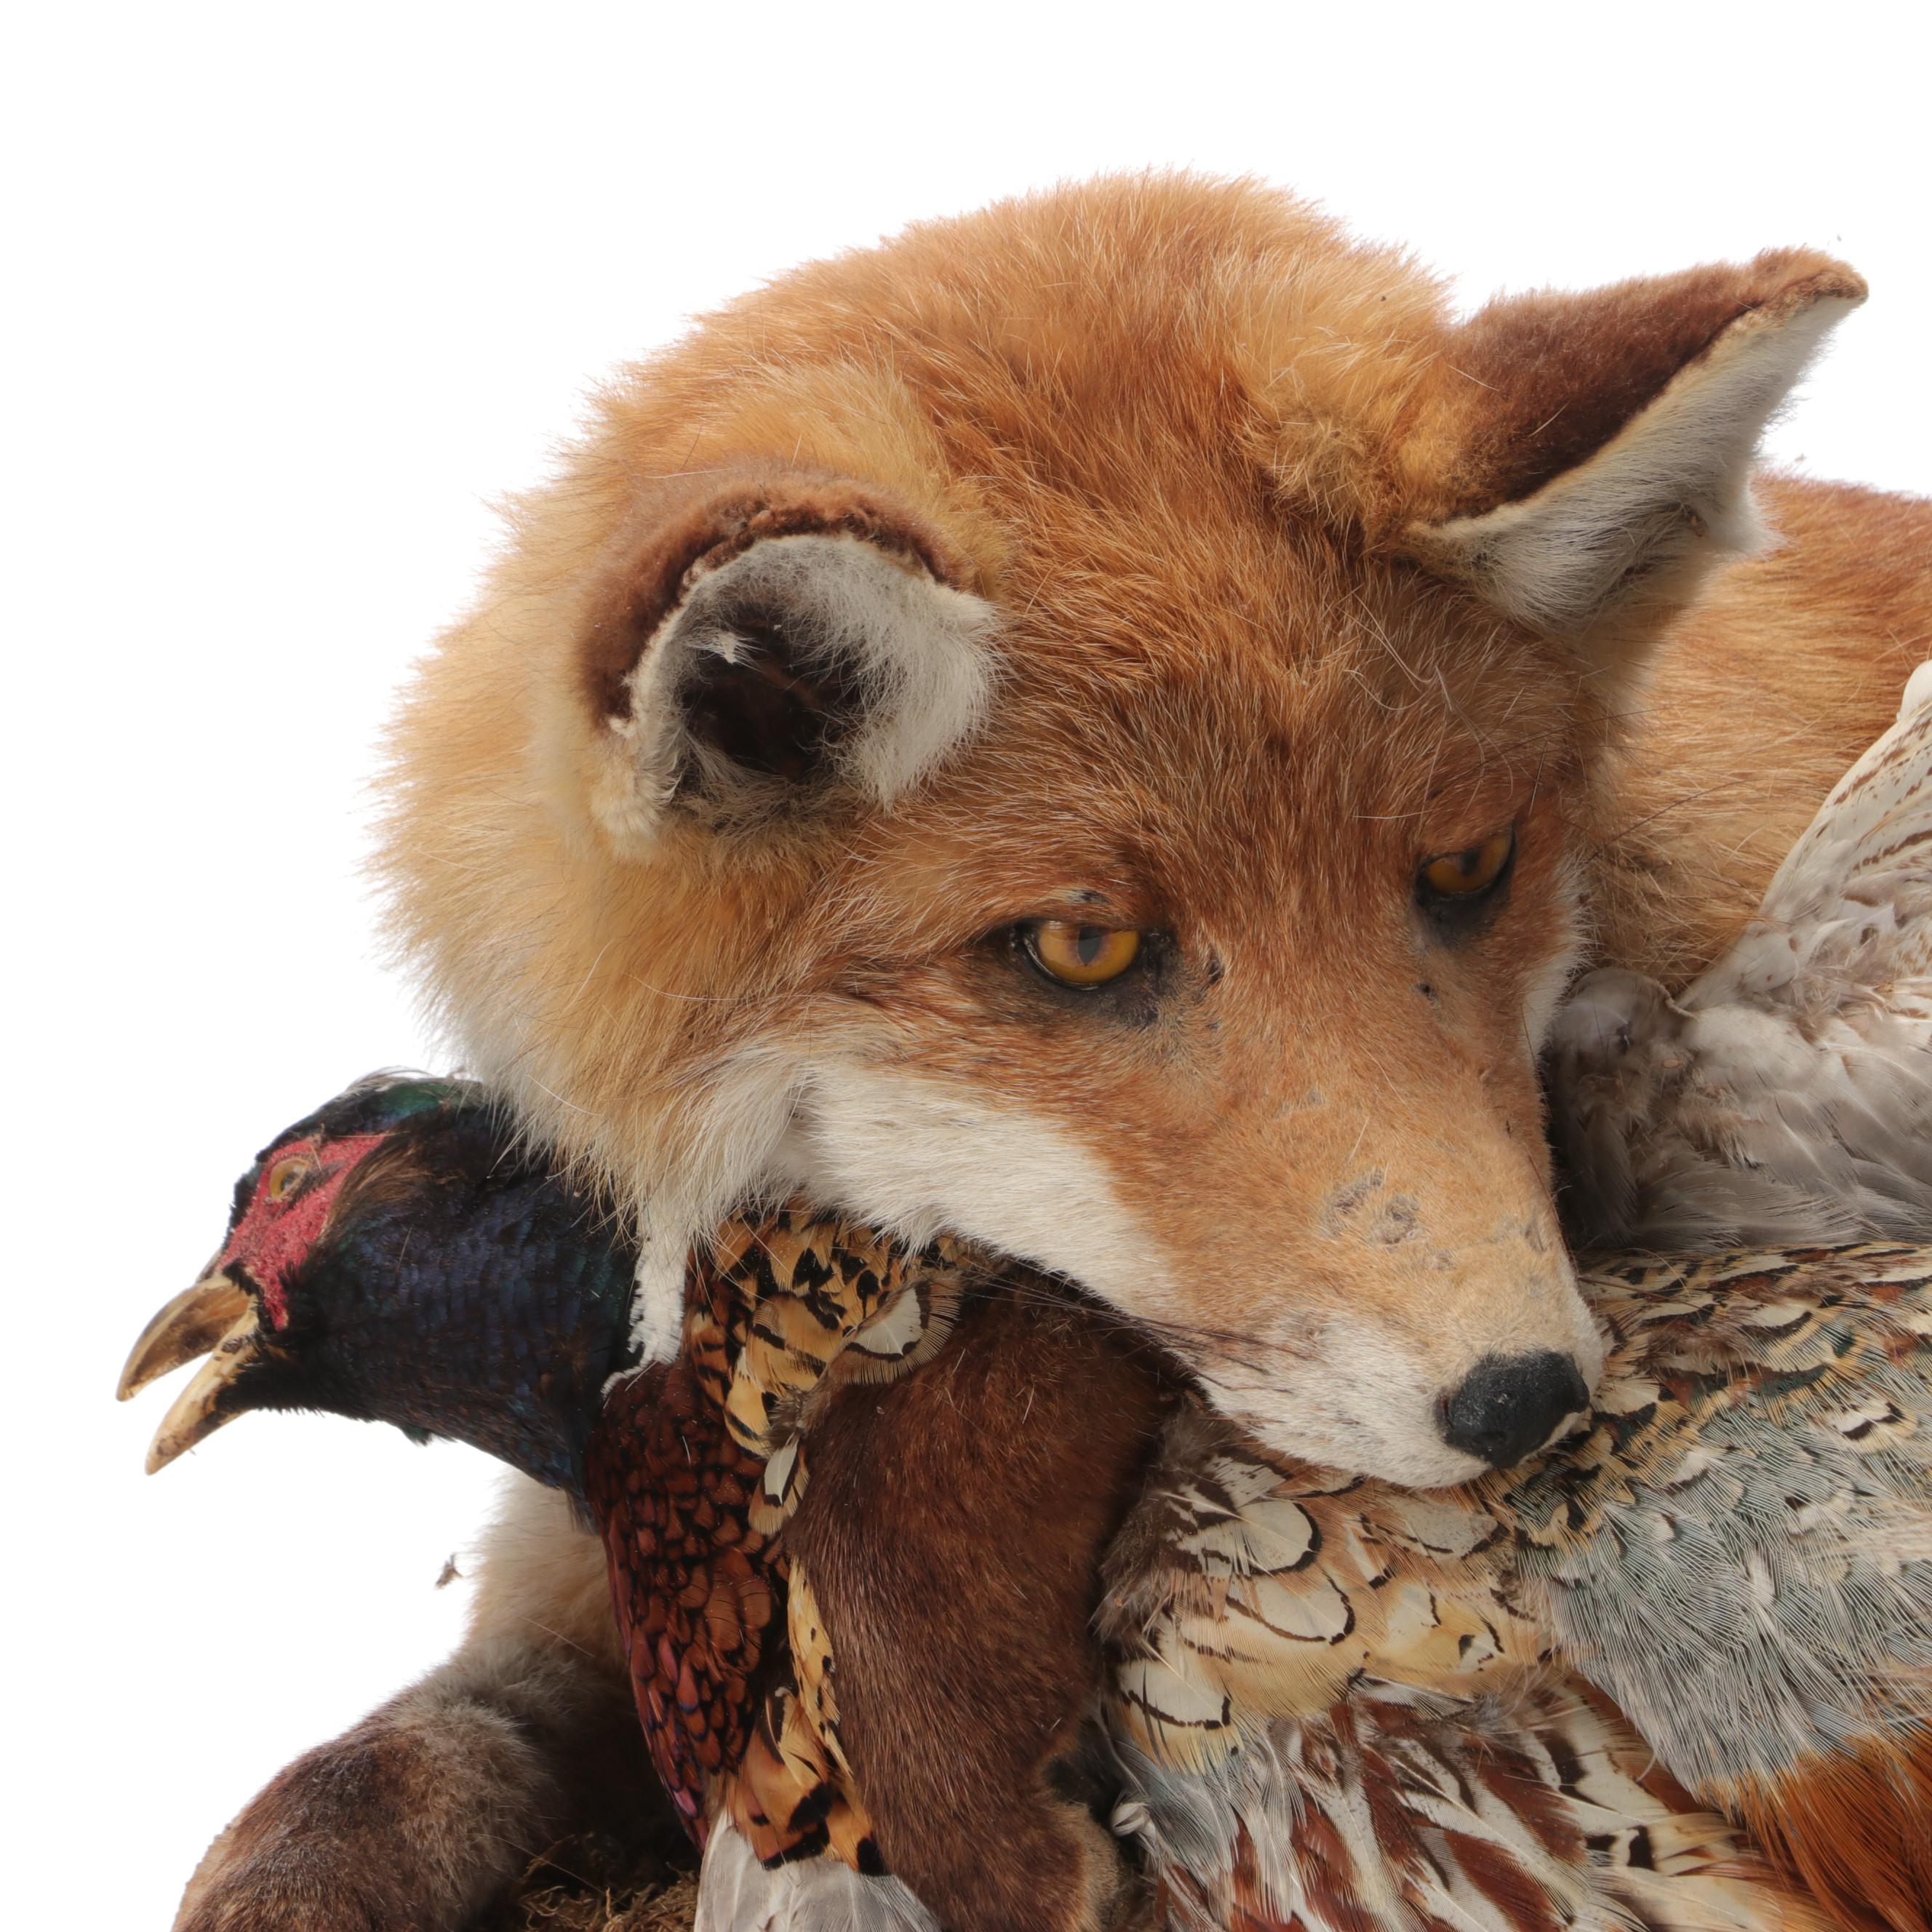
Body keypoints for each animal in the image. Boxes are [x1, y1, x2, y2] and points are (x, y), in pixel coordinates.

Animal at [169, 175, 1931, 1931]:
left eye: (1466, 868)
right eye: (1085, 947)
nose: (1531, 1399)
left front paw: (956, 1772)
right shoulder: (578, 1550)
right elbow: (348, 1787)